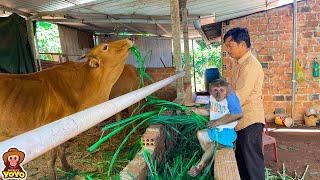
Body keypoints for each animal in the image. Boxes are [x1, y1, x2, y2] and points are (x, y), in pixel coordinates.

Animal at [0, 38, 132, 179]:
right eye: (105, 47)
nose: (129, 39)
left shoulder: (65, 128)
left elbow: (62, 148)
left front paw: (67, 167)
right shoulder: (50, 131)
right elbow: (52, 158)